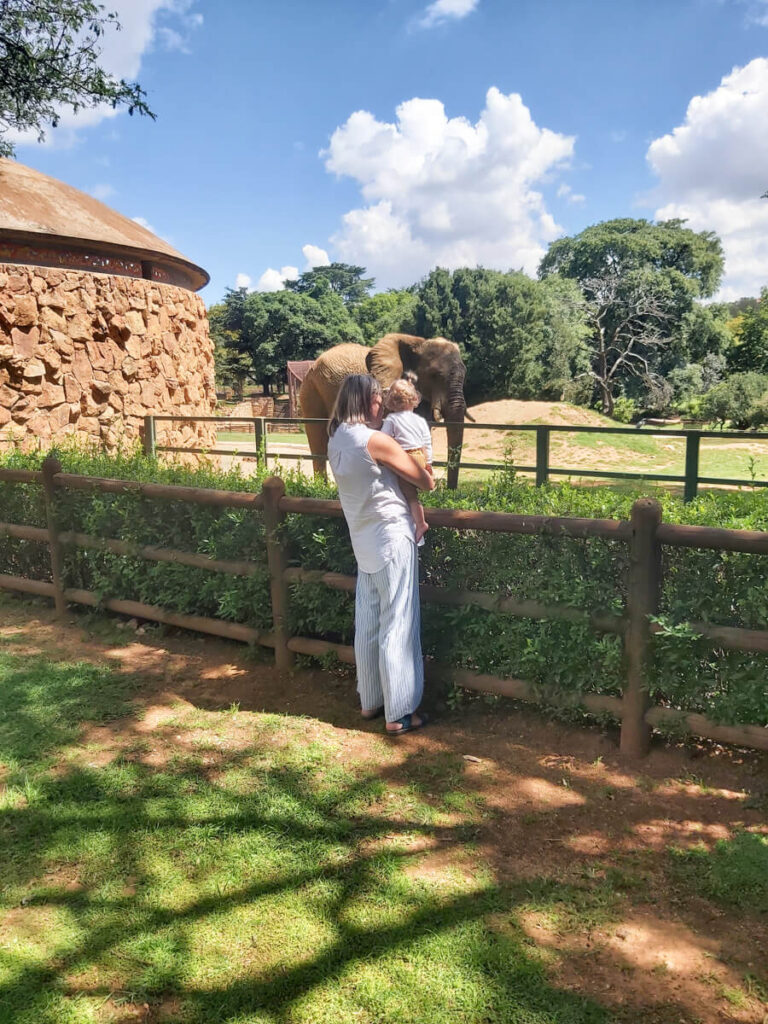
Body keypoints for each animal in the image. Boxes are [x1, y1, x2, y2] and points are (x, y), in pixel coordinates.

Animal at [301, 329, 468, 485]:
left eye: (465, 373)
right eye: (434, 375)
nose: (450, 490)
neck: (419, 343)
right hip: (312, 389)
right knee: (318, 439)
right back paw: (322, 486)